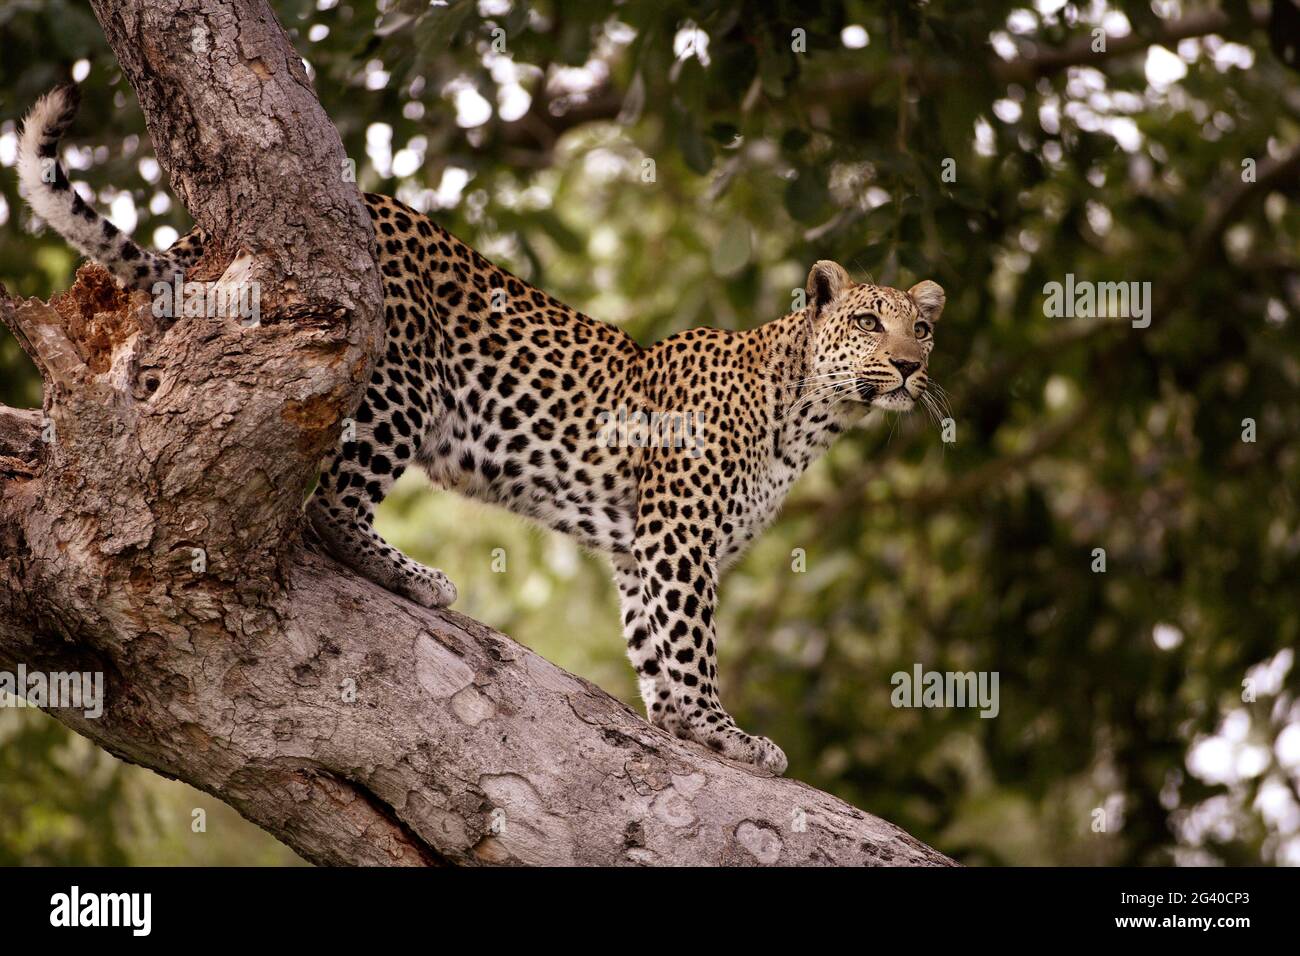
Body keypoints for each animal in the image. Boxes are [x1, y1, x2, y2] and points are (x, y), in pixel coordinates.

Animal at [18, 82, 944, 774]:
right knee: (329, 506)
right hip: (398, 377)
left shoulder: (641, 545)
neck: (809, 414)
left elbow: (653, 642)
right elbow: (690, 640)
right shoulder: (679, 535)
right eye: (868, 323)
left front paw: (684, 728)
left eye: (922, 328)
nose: (907, 366)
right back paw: (410, 575)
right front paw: (724, 732)